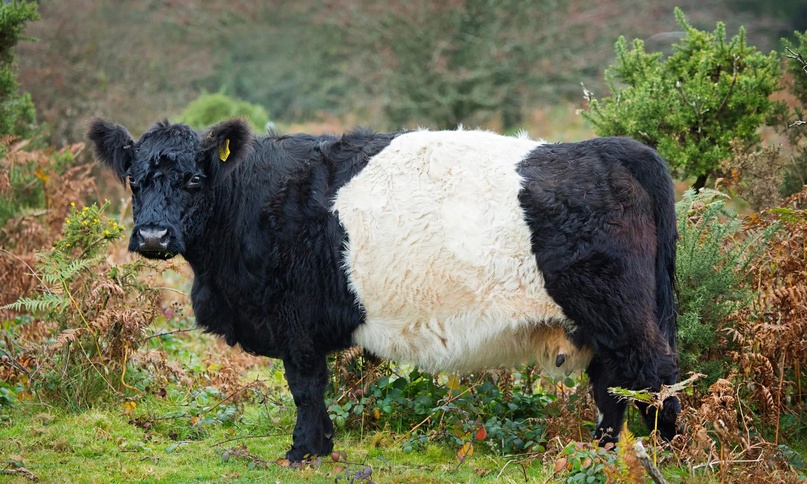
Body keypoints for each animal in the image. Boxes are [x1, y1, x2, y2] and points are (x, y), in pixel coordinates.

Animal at [88, 117, 680, 462]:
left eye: (194, 179)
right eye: (134, 180)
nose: (154, 236)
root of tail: (608, 149)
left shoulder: (294, 321)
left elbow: (305, 386)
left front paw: (305, 451)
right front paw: (321, 445)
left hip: (620, 312)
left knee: (655, 375)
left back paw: (672, 450)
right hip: (601, 322)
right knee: (611, 385)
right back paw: (601, 453)